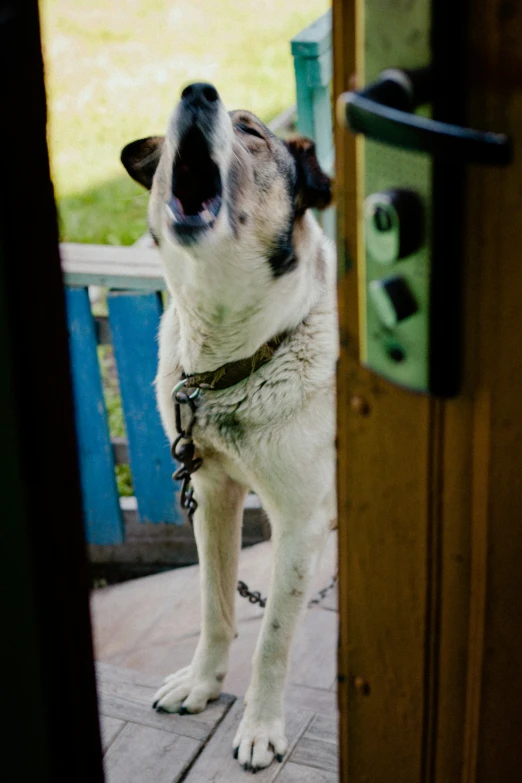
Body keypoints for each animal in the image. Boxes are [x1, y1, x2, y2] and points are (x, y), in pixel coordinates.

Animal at [120, 84, 336, 772]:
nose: (197, 91)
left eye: (252, 133)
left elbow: (273, 639)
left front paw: (261, 729)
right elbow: (214, 606)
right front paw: (201, 685)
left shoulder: (299, 523)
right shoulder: (212, 494)